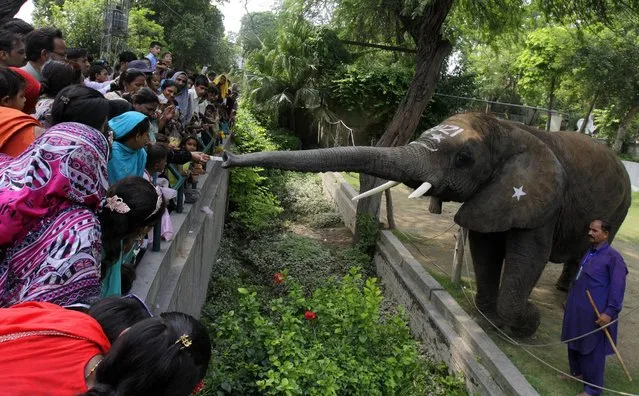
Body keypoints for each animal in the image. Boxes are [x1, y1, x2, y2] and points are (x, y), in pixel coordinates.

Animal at [222, 112, 632, 338]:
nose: (224, 158)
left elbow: (527, 256)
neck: (509, 128)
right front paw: (490, 322)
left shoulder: (542, 200)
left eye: (464, 158)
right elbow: (484, 247)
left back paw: (567, 295)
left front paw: (524, 324)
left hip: (622, 204)